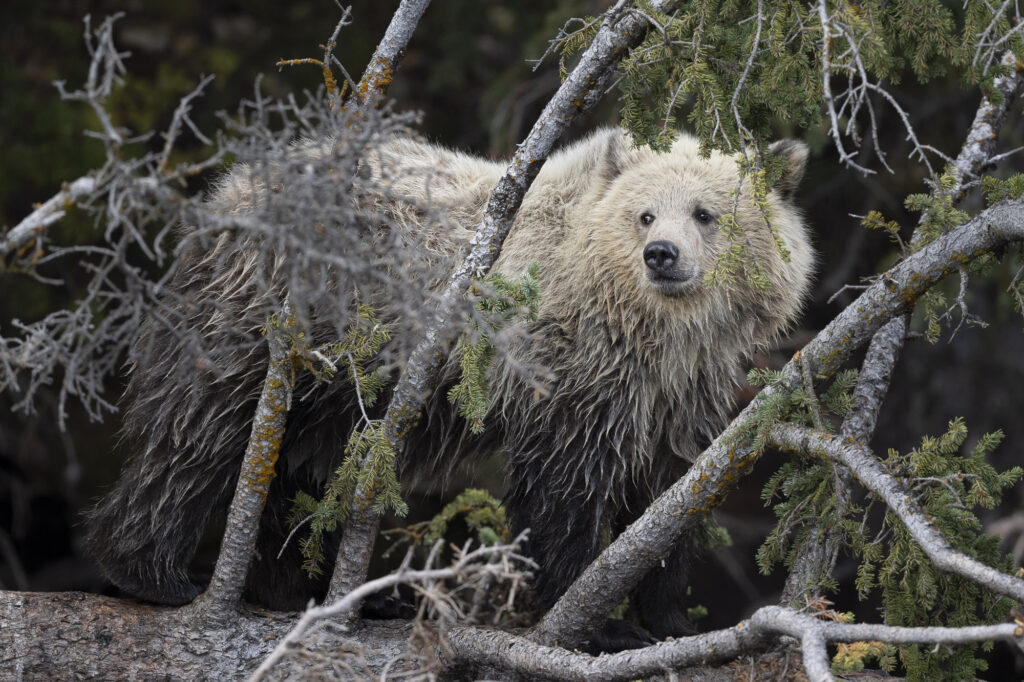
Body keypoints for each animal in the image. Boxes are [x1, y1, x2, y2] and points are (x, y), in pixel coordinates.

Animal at [84, 127, 813, 646]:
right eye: (644, 214)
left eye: (706, 213)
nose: (662, 255)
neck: (651, 332)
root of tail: (227, 191)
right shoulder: (566, 372)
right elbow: (565, 490)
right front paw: (598, 621)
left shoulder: (679, 397)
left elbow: (672, 497)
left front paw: (671, 617)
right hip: (273, 317)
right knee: (203, 429)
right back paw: (154, 573)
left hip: (340, 383)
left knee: (302, 466)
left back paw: (327, 591)